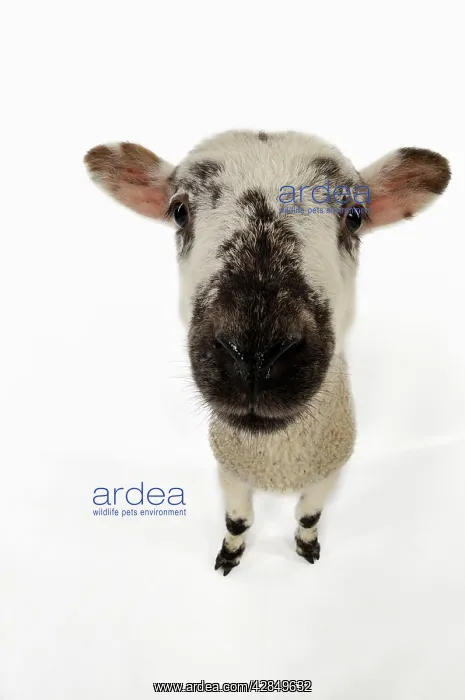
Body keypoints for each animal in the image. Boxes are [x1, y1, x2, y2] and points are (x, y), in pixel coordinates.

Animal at [84, 131, 450, 575]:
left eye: (355, 216)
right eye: (179, 212)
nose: (256, 355)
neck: (277, 457)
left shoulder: (327, 472)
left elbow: (308, 516)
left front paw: (307, 548)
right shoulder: (230, 468)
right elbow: (238, 521)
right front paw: (229, 555)